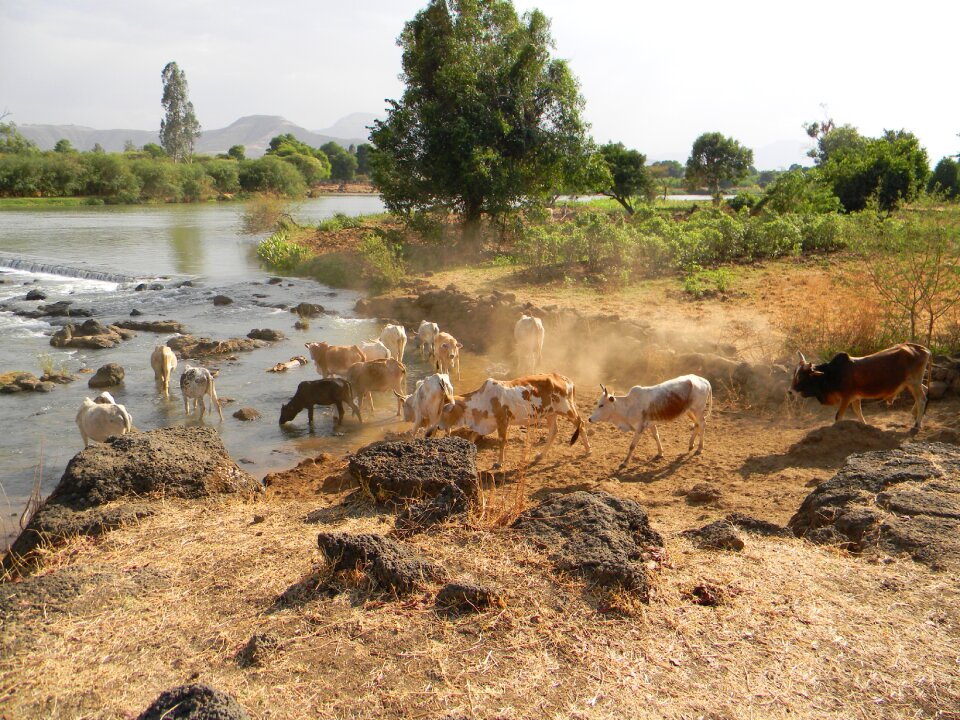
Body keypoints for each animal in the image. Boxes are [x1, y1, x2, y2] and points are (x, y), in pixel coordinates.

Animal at [430, 374, 592, 470]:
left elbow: (502, 441)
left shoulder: (503, 421)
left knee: (581, 423)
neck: (482, 400)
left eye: (443, 411)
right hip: (550, 413)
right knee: (554, 431)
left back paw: (588, 450)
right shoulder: (487, 424)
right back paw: (540, 455)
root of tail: (565, 379)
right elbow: (471, 437)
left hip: (567, 410)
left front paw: (499, 462)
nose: (438, 427)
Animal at [584, 374, 712, 470]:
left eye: (601, 405)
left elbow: (632, 446)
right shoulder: (651, 424)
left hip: (698, 410)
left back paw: (699, 448)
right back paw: (691, 445)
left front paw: (625, 463)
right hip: (689, 411)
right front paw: (660, 453)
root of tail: (704, 381)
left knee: (702, 424)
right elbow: (656, 436)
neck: (628, 406)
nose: (590, 419)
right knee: (697, 424)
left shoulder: (640, 428)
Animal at [788, 342, 928, 428]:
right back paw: (914, 414)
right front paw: (865, 426)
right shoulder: (855, 397)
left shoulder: (846, 398)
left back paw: (917, 424)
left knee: (921, 398)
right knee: (924, 390)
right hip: (912, 383)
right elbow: (858, 412)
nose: (790, 391)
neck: (830, 374)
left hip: (913, 382)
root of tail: (922, 349)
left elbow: (838, 416)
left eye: (801, 376)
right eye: (794, 374)